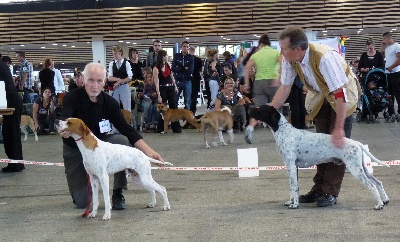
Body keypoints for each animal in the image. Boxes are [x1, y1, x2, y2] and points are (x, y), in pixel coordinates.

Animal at [252, 105, 390, 210]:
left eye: (260, 109)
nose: (249, 109)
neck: (284, 132)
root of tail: (356, 143)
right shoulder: (289, 167)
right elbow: (292, 187)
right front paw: (290, 201)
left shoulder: (291, 166)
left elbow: (294, 187)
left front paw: (295, 205)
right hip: (362, 168)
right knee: (378, 182)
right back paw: (385, 200)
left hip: (355, 169)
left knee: (371, 185)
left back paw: (379, 205)